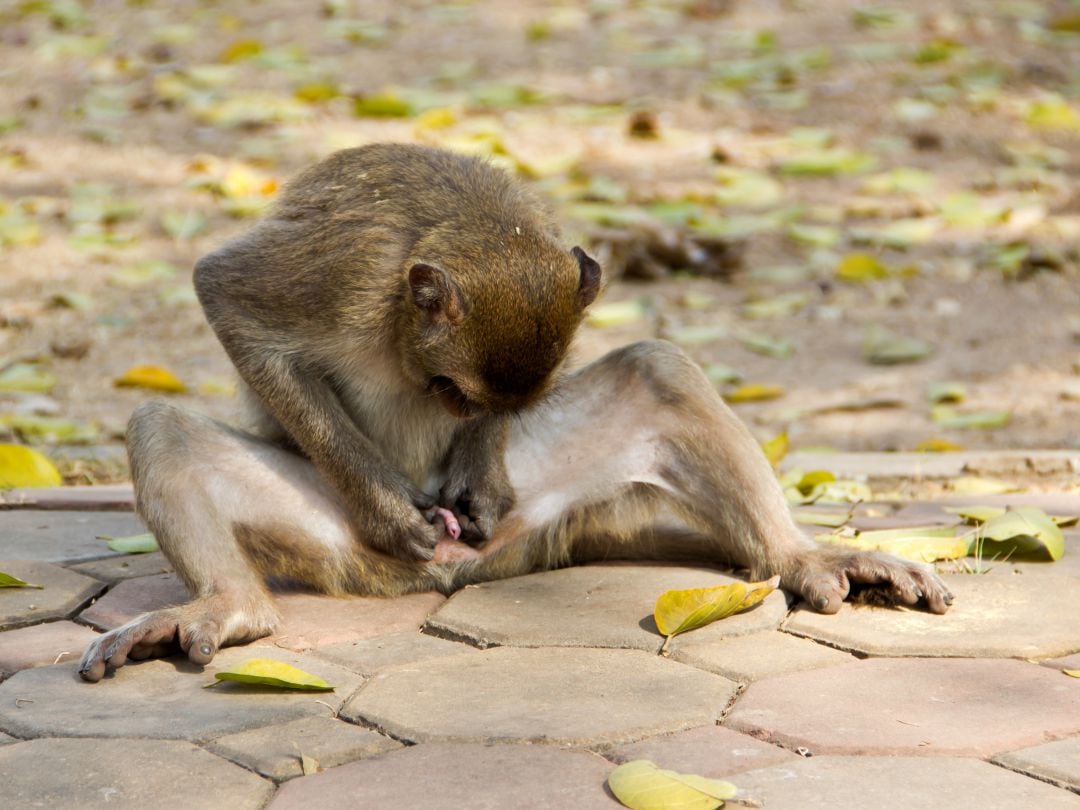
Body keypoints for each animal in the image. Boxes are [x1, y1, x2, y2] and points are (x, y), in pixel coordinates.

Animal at [78, 145, 954, 686]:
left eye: (472, 403)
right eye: (449, 393)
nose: (450, 507)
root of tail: (454, 572)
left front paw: (481, 471)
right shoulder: (342, 270)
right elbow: (226, 295)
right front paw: (386, 509)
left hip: (543, 513)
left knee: (658, 370)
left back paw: (798, 554)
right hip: (334, 545)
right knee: (161, 429)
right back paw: (236, 605)